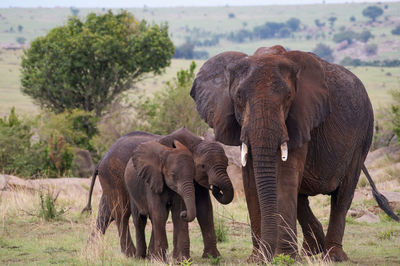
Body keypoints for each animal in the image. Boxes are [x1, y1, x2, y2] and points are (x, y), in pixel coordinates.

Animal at [83, 128, 234, 258]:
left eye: (227, 164)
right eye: (203, 166)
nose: (215, 188)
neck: (196, 142)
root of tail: (101, 159)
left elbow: (205, 209)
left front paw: (212, 257)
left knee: (106, 213)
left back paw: (90, 249)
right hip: (113, 176)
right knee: (122, 213)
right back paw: (130, 254)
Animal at [189, 45, 398, 262]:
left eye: (288, 97)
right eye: (238, 97)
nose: (214, 188)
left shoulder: (301, 116)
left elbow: (285, 176)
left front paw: (285, 258)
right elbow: (251, 181)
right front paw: (257, 259)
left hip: (363, 133)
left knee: (343, 194)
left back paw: (332, 256)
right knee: (301, 198)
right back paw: (311, 250)